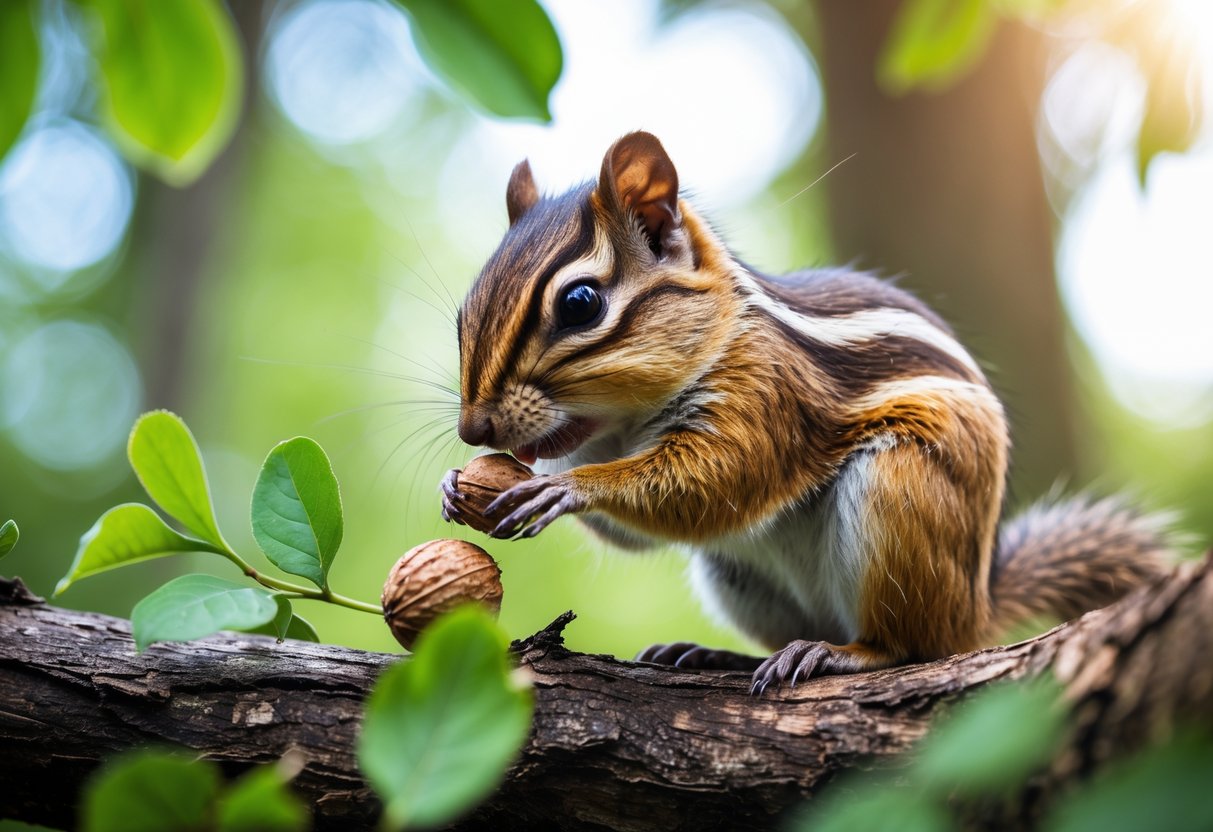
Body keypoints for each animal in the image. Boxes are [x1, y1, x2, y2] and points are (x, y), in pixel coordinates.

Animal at [440, 131, 1172, 693]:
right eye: (461, 314)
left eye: (581, 304)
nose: (474, 430)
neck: (623, 425)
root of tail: (977, 607)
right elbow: (639, 535)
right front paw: (457, 486)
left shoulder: (768, 395)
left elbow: (715, 482)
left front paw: (567, 487)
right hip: (733, 573)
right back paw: (717, 655)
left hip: (899, 493)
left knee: (910, 645)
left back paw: (845, 654)